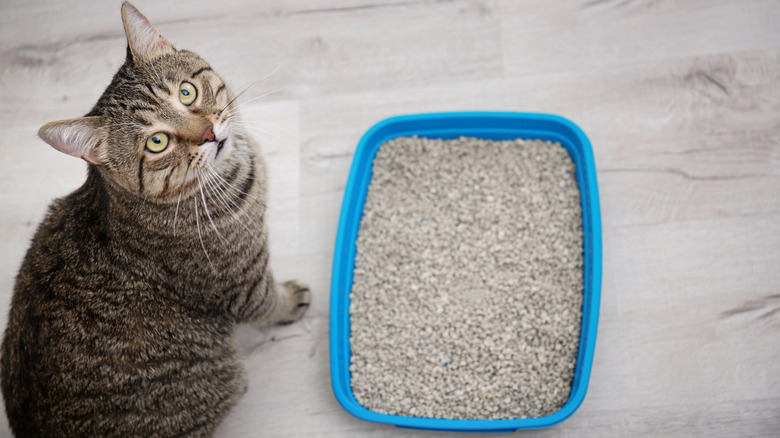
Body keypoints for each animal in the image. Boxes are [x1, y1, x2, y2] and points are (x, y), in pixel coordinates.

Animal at [0, 2, 310, 434]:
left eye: (187, 92)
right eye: (158, 142)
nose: (210, 133)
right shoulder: (241, 283)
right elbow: (269, 301)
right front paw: (290, 301)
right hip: (223, 377)